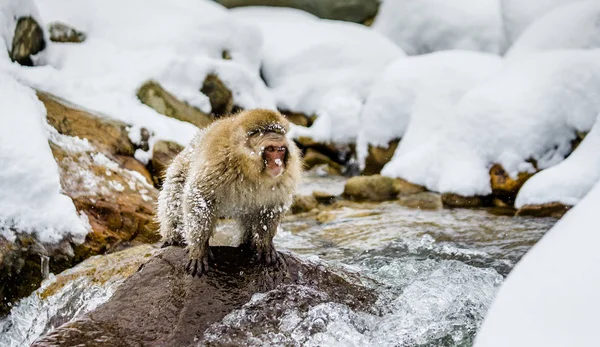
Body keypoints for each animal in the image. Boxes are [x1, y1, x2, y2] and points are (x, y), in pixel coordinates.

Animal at [157, 110, 302, 278]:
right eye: (271, 149)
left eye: (281, 149)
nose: (278, 164)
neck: (249, 169)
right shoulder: (218, 164)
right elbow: (199, 198)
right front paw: (199, 249)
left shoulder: (285, 177)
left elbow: (272, 206)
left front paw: (264, 243)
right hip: (181, 166)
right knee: (174, 193)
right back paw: (173, 238)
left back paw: (247, 243)